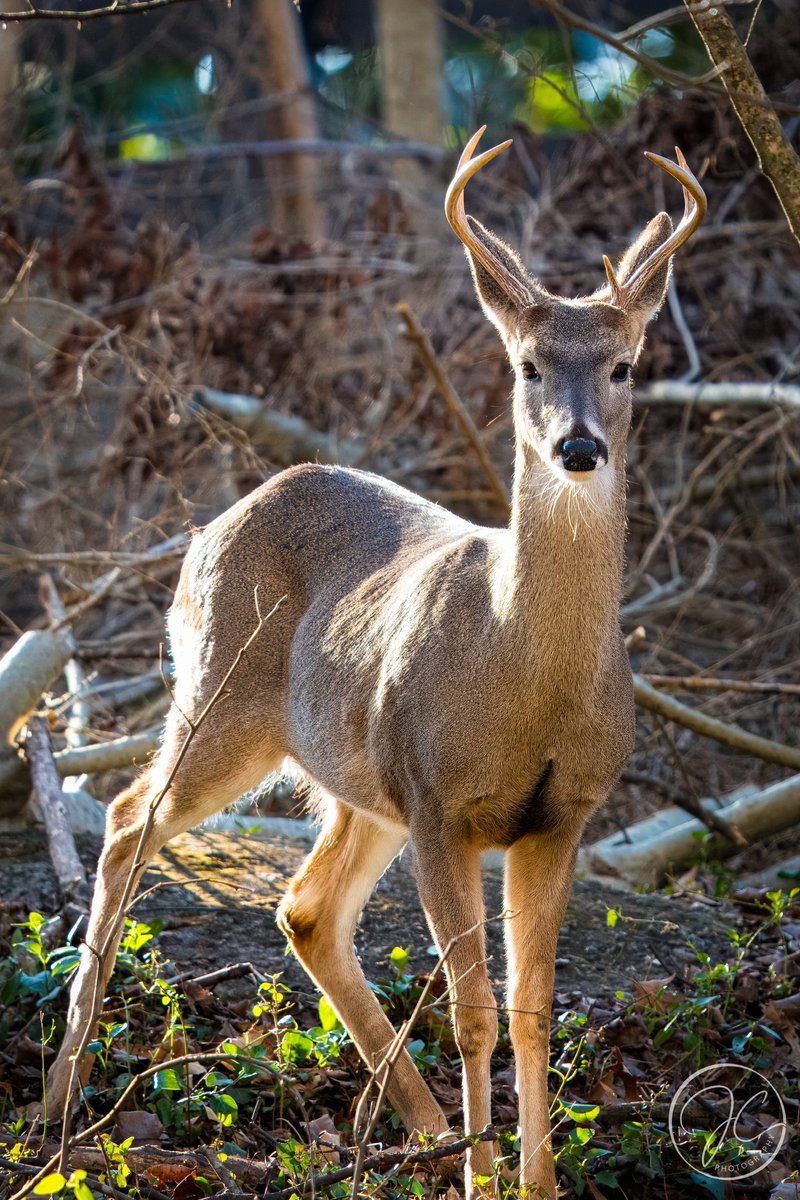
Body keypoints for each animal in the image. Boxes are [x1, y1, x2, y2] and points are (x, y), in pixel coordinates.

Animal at [43, 129, 705, 1198]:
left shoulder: (561, 816)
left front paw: (533, 1180)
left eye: (626, 366)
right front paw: (486, 1180)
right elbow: (475, 1013)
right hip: (226, 702)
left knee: (304, 907)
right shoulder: (441, 801)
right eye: (527, 364)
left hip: (360, 777)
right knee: (125, 816)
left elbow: (533, 1008)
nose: (578, 447)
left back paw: (423, 1128)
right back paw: (61, 1093)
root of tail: (209, 528)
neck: (527, 675)